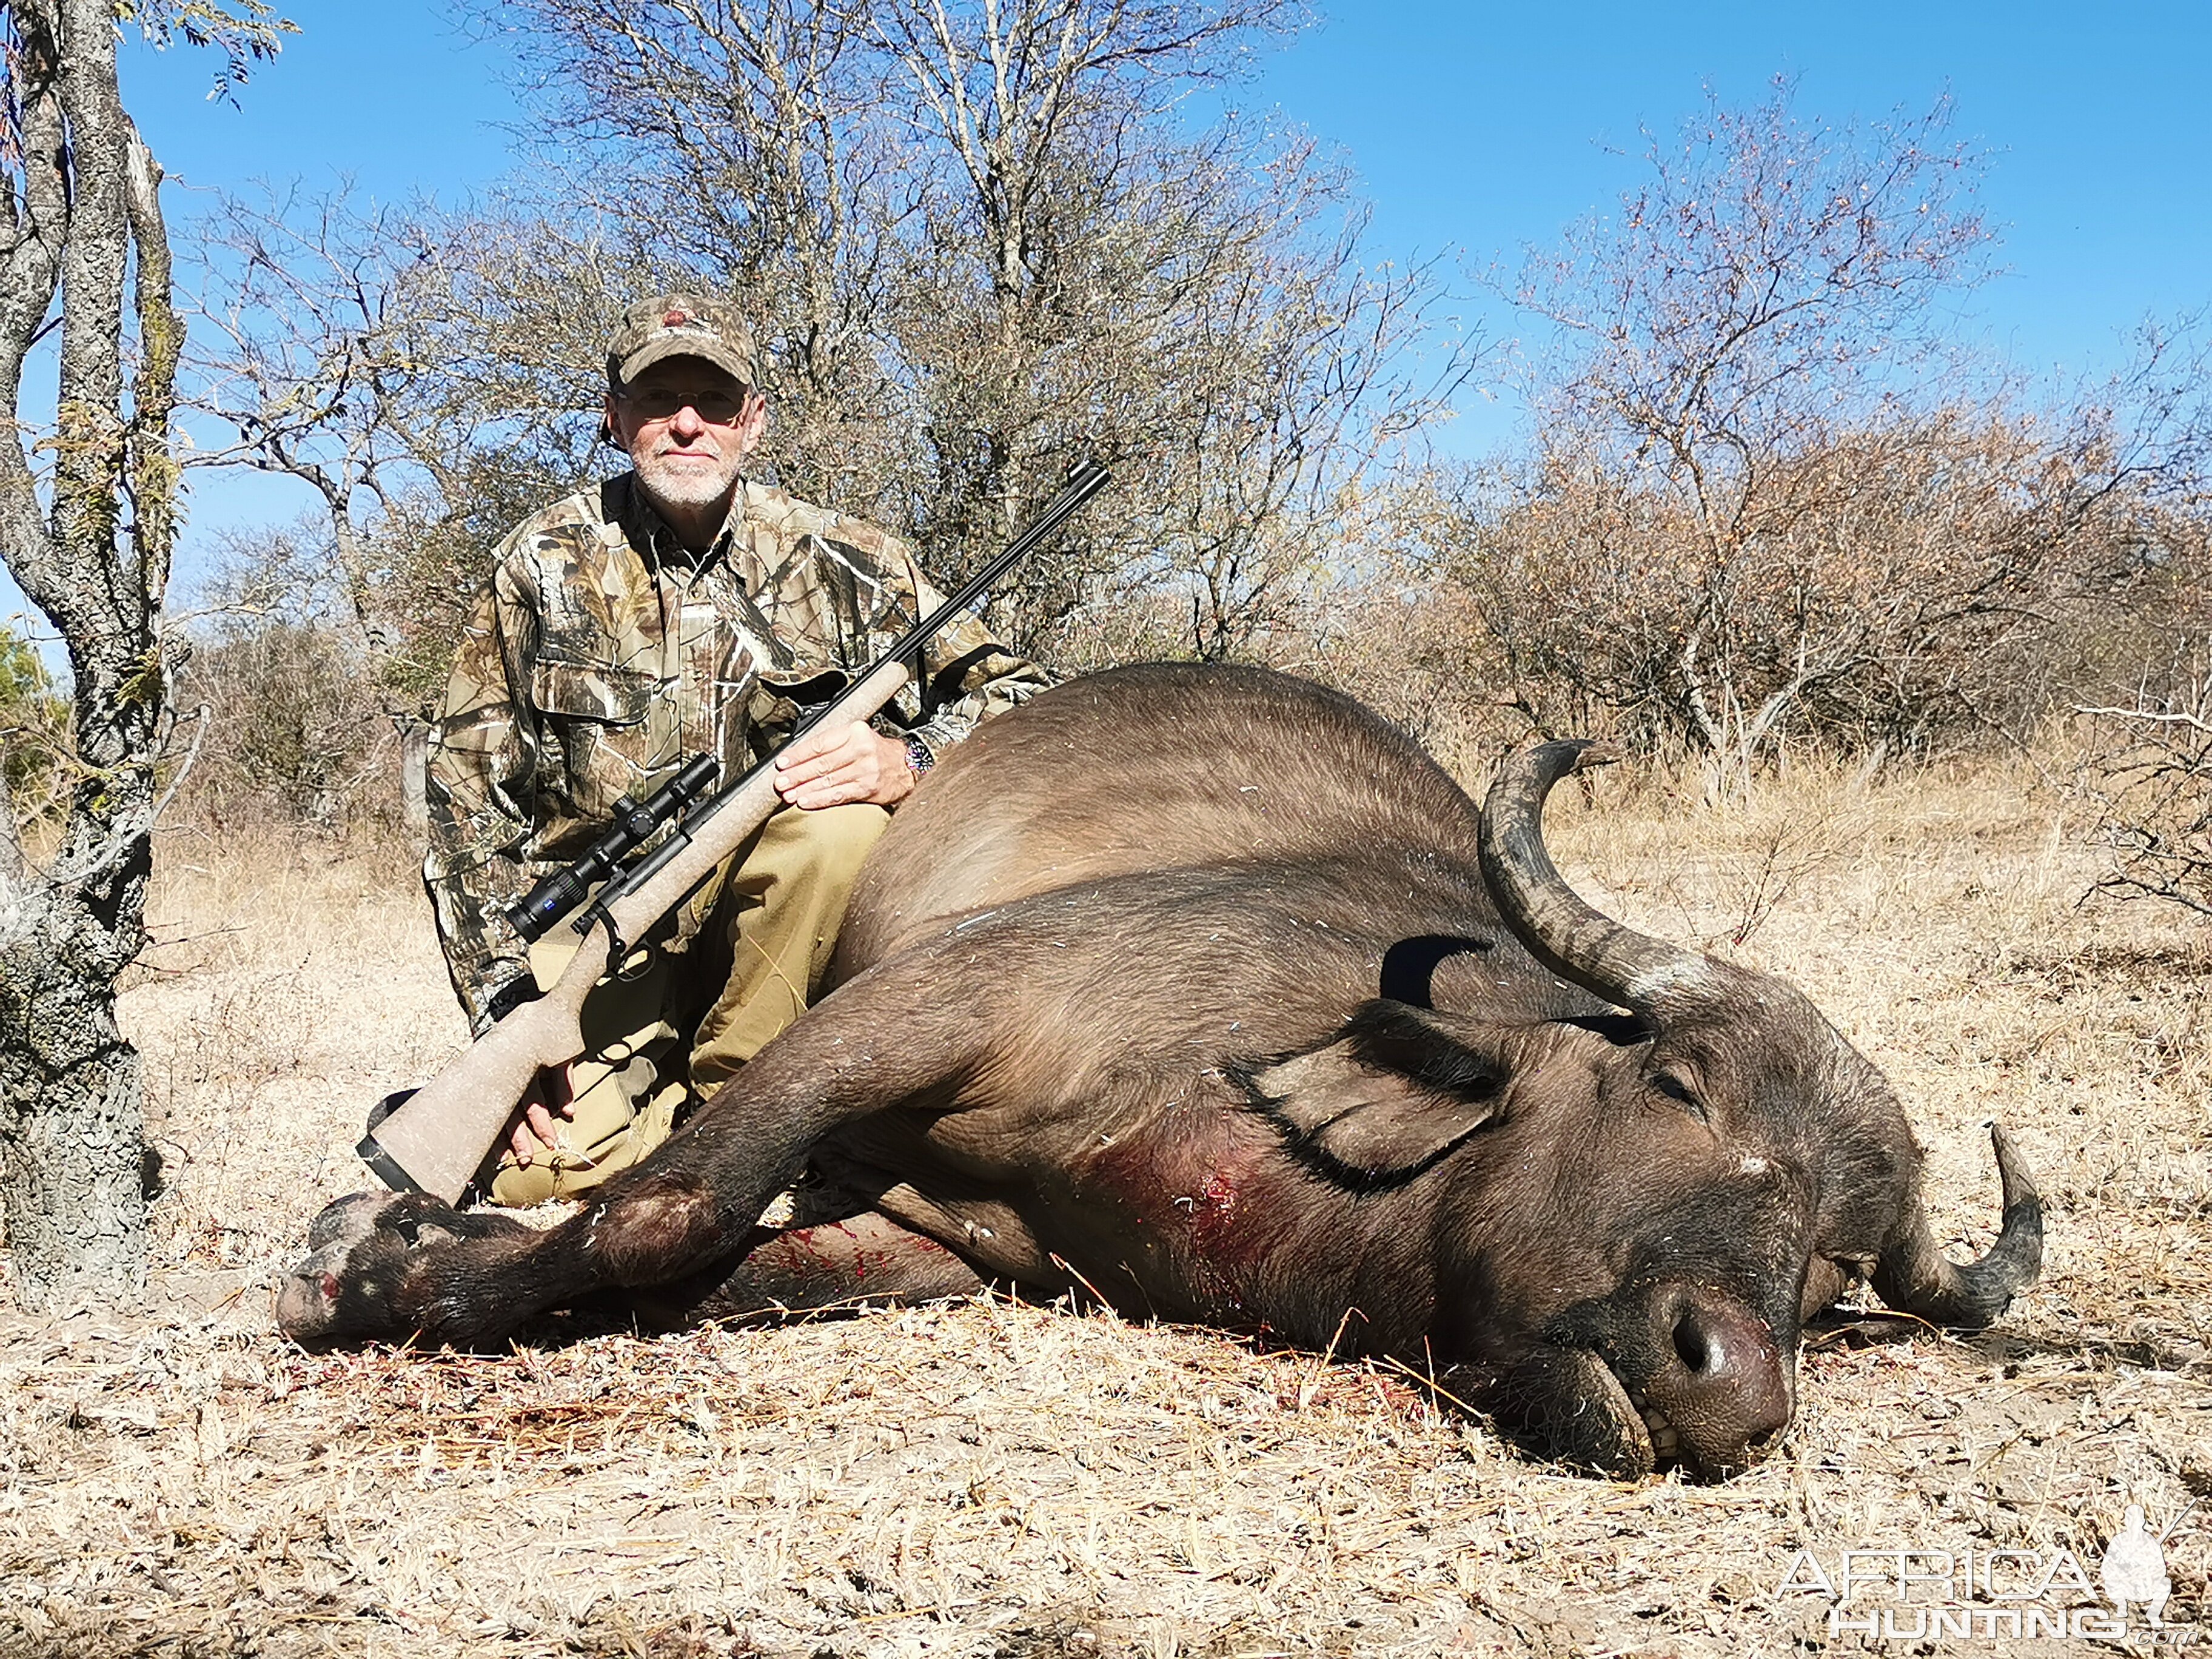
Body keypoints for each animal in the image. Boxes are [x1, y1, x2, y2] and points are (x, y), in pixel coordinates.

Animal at [276, 663, 2035, 1477]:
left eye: (1828, 1265)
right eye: (1675, 1086)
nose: (1727, 1380)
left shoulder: (947, 1241)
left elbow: (696, 1259)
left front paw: (408, 1251)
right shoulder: (930, 1002)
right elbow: (665, 1211)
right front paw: (357, 1259)